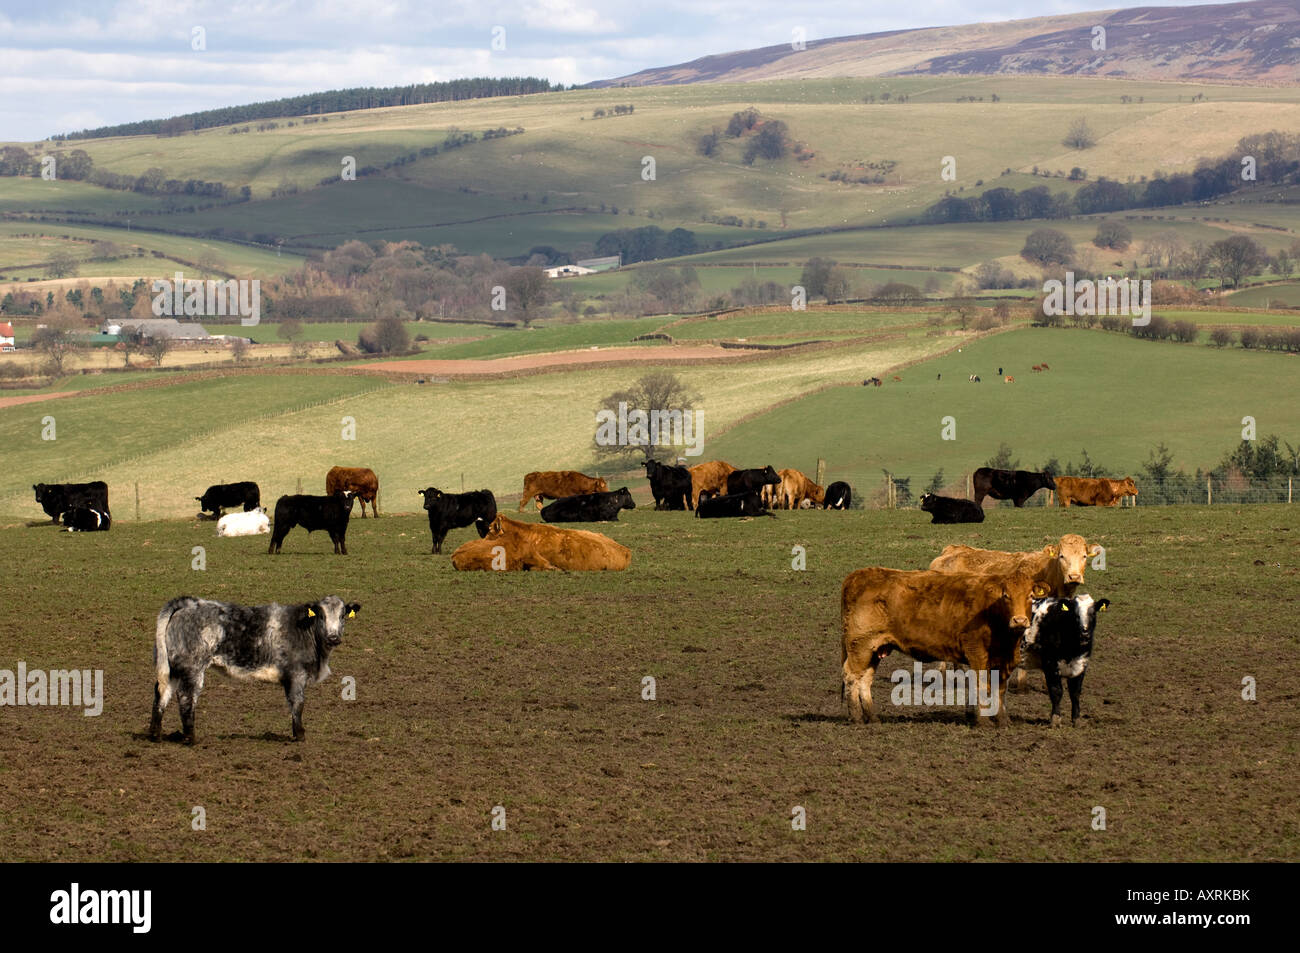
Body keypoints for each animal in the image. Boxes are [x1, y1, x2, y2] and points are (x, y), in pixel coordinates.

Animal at [148, 595, 361, 743]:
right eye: (322, 616)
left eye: (342, 615)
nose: (333, 637)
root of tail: (189, 604)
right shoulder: (297, 675)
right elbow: (298, 703)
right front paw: (300, 735)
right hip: (192, 668)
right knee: (186, 698)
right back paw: (190, 738)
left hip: (173, 668)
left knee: (162, 694)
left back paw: (156, 735)